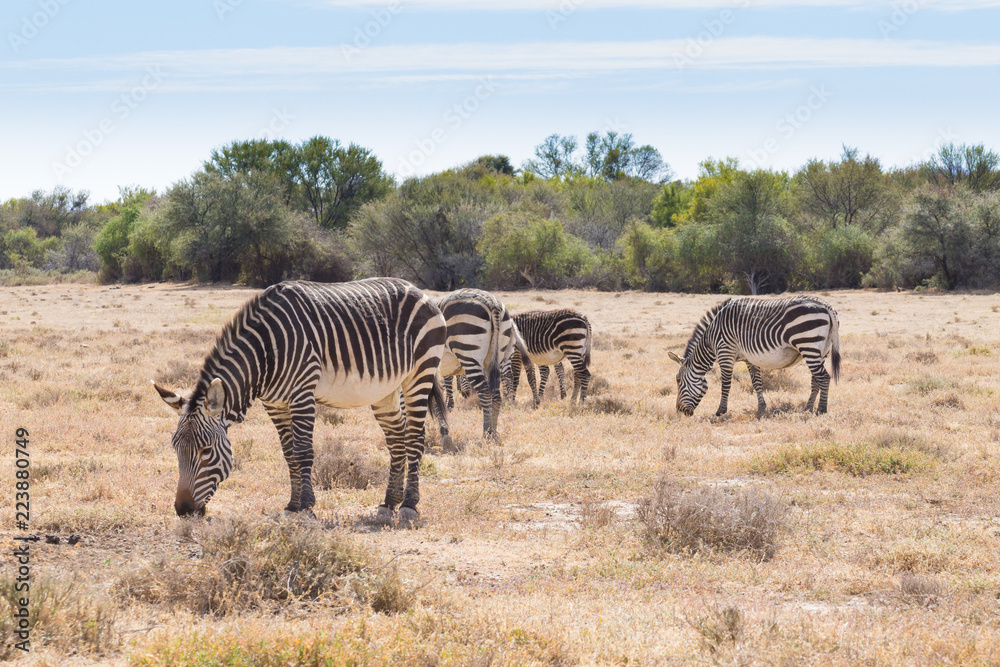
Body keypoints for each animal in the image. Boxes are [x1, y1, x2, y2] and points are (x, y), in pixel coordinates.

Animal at [153, 278, 448, 526]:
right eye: (176, 449)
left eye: (206, 451)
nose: (183, 510)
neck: (266, 351)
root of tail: (418, 290)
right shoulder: (275, 404)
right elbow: (289, 454)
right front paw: (292, 506)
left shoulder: (302, 394)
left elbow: (304, 452)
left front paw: (306, 507)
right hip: (385, 391)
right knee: (397, 441)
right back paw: (388, 504)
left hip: (419, 373)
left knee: (415, 438)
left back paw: (409, 505)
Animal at [432, 289, 537, 442]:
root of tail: (491, 302)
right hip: (498, 355)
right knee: (499, 391)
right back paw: (494, 430)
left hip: (468, 352)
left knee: (485, 391)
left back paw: (486, 433)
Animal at [670, 295, 841, 417]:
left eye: (678, 380)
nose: (679, 411)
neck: (711, 339)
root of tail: (827, 306)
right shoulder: (749, 358)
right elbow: (756, 382)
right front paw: (761, 408)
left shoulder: (725, 352)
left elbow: (726, 383)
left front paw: (720, 411)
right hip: (822, 350)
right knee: (816, 380)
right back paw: (808, 407)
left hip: (808, 344)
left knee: (823, 377)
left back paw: (821, 410)